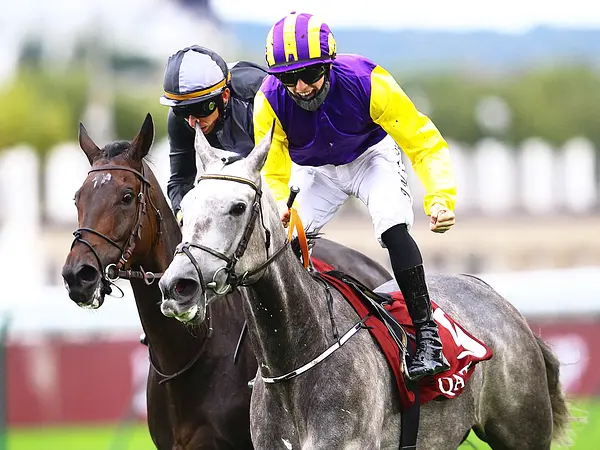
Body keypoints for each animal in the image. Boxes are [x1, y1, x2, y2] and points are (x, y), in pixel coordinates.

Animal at [158, 124, 572, 449]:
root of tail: (497, 298)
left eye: (238, 207)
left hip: (523, 432)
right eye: (185, 207)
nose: (178, 286)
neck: (295, 359)